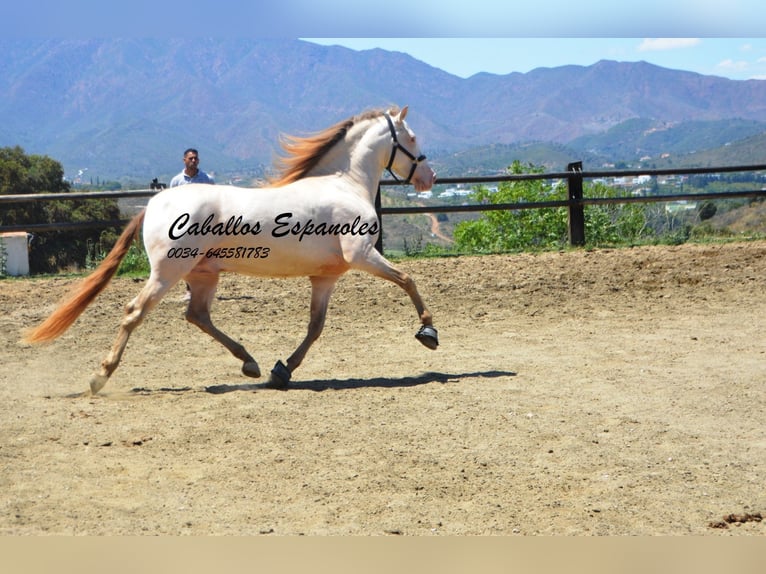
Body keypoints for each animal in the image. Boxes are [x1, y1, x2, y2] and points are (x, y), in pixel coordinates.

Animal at [22, 106, 438, 396]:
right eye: (412, 138)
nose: (428, 177)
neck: (344, 184)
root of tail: (154, 203)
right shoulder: (362, 254)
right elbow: (408, 279)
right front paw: (428, 332)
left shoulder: (326, 277)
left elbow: (315, 327)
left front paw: (282, 371)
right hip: (169, 273)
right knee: (135, 313)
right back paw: (100, 377)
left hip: (203, 274)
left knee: (197, 315)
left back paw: (250, 363)